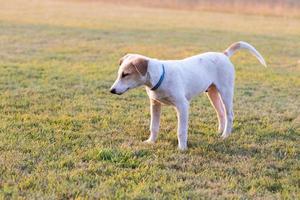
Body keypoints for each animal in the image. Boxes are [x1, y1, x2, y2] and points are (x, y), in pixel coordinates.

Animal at [109, 41, 264, 150]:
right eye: (119, 74)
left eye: (126, 74)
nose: (112, 90)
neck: (160, 76)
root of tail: (223, 54)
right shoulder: (155, 104)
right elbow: (154, 126)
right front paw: (150, 142)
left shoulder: (183, 106)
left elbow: (181, 130)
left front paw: (182, 148)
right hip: (212, 92)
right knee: (220, 112)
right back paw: (220, 132)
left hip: (226, 90)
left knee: (229, 114)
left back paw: (225, 135)